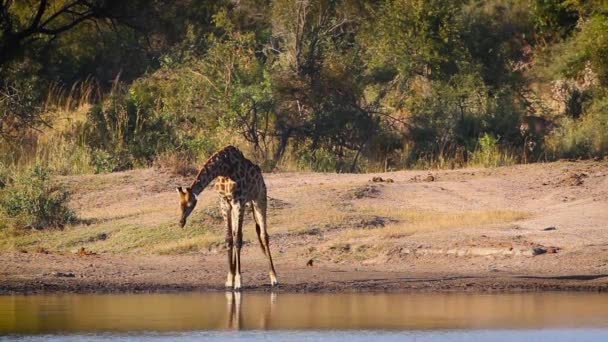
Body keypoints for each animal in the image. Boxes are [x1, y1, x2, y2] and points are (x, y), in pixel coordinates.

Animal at [176, 145, 278, 292]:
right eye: (180, 204)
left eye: (190, 204)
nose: (181, 222)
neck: (224, 168)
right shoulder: (224, 203)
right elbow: (229, 238)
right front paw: (230, 279)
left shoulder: (239, 201)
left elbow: (238, 239)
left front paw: (239, 282)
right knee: (237, 234)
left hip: (260, 199)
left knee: (264, 236)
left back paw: (274, 278)